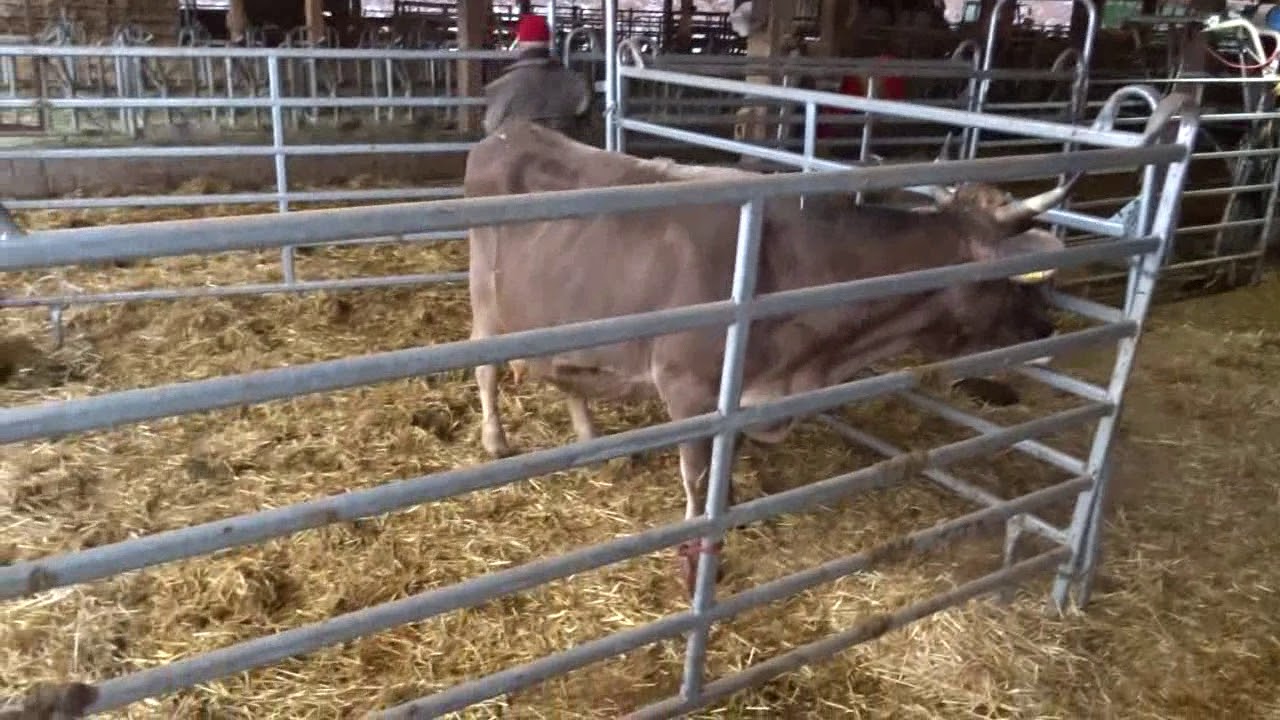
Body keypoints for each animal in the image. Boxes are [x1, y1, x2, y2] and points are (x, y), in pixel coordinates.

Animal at [465, 120, 1077, 595]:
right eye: (1014, 278)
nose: (1046, 326)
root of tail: (511, 130)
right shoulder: (688, 388)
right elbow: (697, 478)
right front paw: (700, 561)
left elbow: (725, 464)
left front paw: (731, 504)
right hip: (486, 303)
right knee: (485, 369)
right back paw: (496, 440)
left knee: (565, 378)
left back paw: (592, 442)